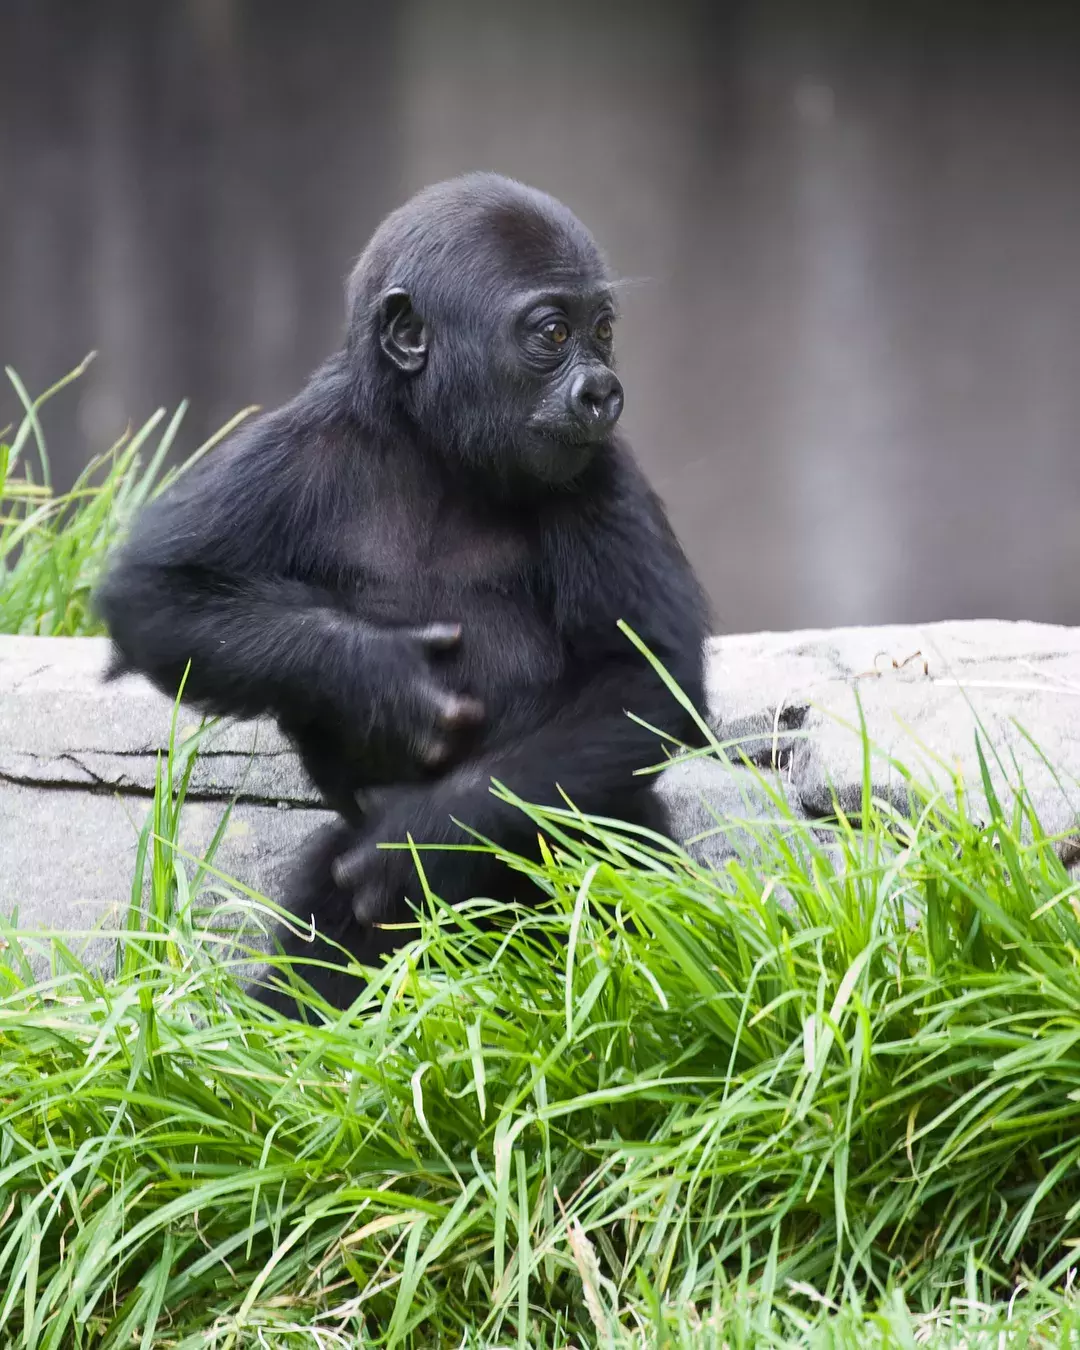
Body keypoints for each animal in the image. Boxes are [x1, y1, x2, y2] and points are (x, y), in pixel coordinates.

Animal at [97, 171, 712, 1015]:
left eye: (604, 330)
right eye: (553, 334)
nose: (601, 391)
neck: (435, 449)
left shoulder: (598, 468)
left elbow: (647, 678)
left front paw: (424, 836)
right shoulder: (301, 443)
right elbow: (158, 593)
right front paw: (378, 677)